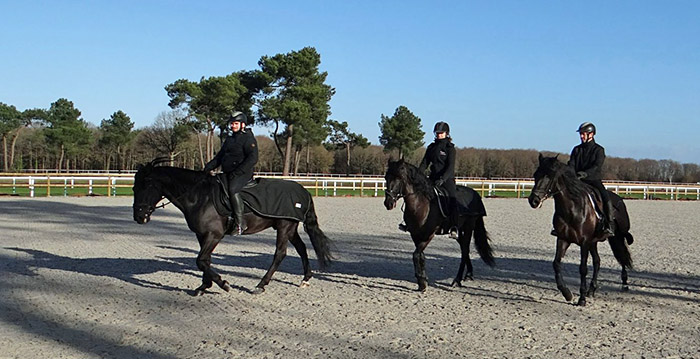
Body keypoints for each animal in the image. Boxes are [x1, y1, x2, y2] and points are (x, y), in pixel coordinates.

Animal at [132, 160, 334, 296]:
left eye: (146, 185)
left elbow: (201, 260)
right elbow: (205, 260)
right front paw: (204, 286)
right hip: (289, 227)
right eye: (134, 188)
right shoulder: (202, 235)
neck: (199, 196)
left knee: (280, 254)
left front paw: (223, 284)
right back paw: (305, 279)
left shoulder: (214, 234)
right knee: (301, 249)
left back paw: (261, 285)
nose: (139, 217)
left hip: (285, 226)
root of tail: (303, 190)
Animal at [382, 160, 492, 292]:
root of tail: (475, 193)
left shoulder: (429, 234)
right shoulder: (415, 234)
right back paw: (468, 274)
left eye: (399, 178)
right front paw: (422, 281)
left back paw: (457, 280)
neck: (421, 204)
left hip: (468, 227)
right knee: (464, 249)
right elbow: (420, 256)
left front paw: (422, 281)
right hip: (459, 232)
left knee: (465, 250)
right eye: (386, 178)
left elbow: (416, 255)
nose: (388, 203)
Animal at [524, 155, 636, 306]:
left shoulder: (584, 242)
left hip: (617, 236)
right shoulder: (563, 239)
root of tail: (619, 198)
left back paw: (624, 283)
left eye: (549, 176)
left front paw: (581, 298)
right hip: (594, 242)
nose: (533, 200)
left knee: (622, 256)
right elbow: (556, 264)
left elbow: (583, 268)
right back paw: (592, 290)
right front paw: (567, 293)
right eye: (536, 175)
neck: (572, 208)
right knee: (597, 261)